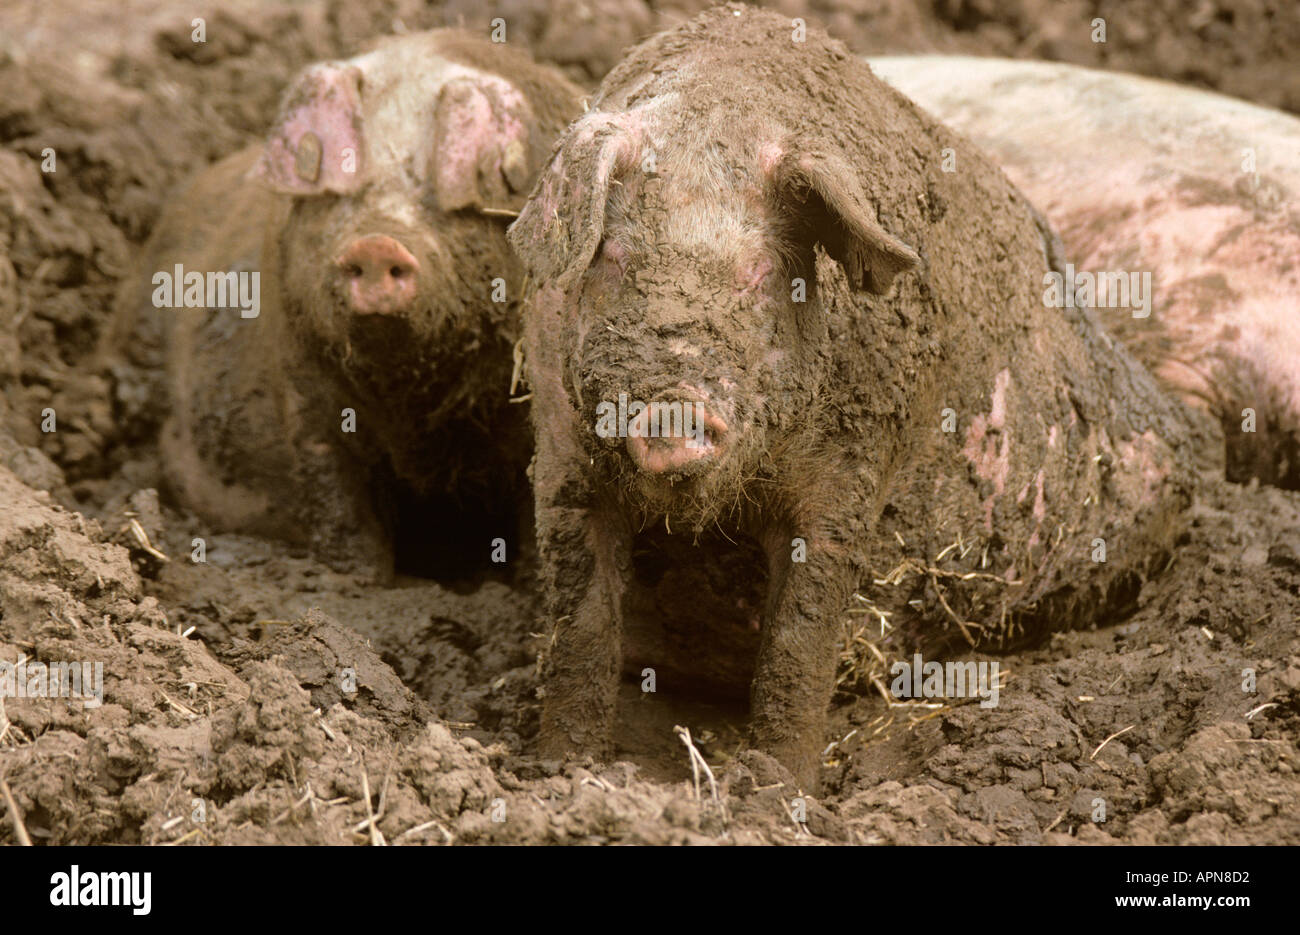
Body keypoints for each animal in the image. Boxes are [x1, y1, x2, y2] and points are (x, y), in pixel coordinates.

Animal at [106, 31, 585, 577]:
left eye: (430, 192)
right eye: (348, 191)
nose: (376, 244)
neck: (415, 407)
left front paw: (528, 578)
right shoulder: (301, 382)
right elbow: (334, 492)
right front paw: (360, 579)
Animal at [506, 7, 1196, 795]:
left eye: (762, 272)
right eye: (616, 258)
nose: (670, 409)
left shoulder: (856, 467)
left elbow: (801, 636)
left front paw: (777, 786)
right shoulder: (561, 444)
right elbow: (581, 619)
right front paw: (564, 769)